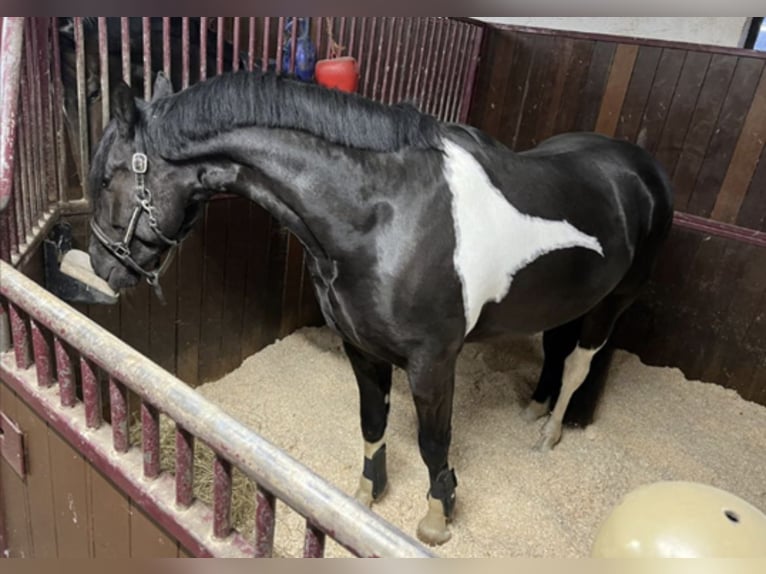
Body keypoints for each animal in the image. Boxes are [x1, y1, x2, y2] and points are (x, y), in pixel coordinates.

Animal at [88, 71, 672, 544]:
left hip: (613, 303)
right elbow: (372, 423)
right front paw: (365, 499)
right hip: (566, 299)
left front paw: (438, 516)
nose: (101, 265)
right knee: (555, 351)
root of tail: (640, 169)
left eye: (107, 176)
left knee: (578, 364)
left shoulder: (433, 361)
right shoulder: (361, 347)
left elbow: (434, 442)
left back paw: (549, 434)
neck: (382, 215)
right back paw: (536, 407)